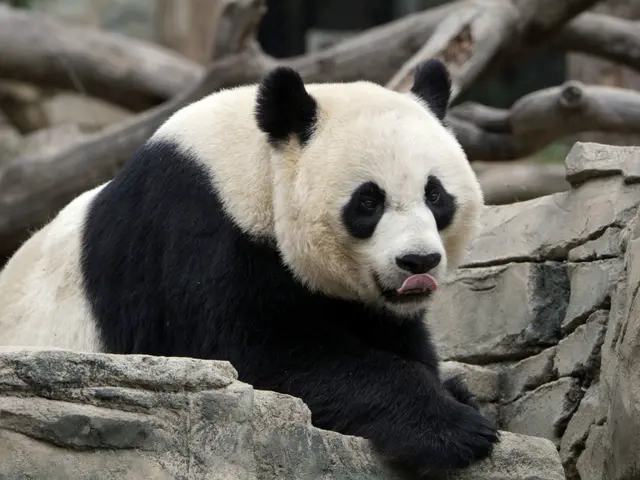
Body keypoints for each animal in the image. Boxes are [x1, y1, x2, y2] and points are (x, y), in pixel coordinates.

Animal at [0, 59, 497, 474]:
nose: (418, 261)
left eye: (435, 194)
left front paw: (454, 393)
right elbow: (256, 355)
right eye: (368, 202)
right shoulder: (194, 235)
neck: (254, 167)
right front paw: (455, 428)